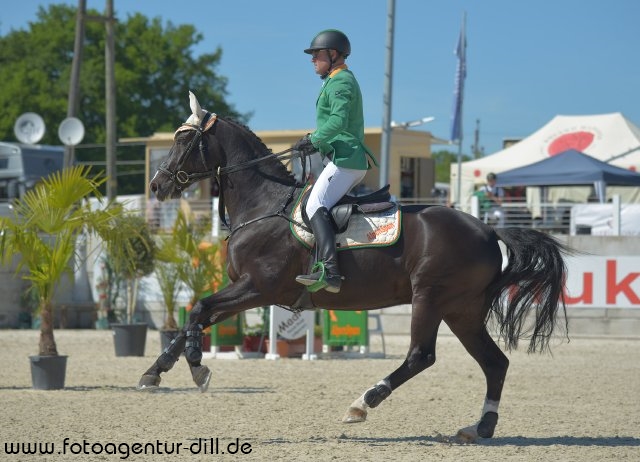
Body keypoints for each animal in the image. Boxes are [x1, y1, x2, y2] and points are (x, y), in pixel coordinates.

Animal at [141, 92, 568, 442]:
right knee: (495, 363)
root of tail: (488, 230)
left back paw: (363, 403)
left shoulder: (257, 288)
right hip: (462, 310)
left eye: (183, 140)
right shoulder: (245, 290)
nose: (157, 186)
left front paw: (196, 366)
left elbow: (199, 308)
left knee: (421, 356)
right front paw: (157, 370)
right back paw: (480, 427)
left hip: (431, 298)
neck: (265, 203)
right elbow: (196, 315)